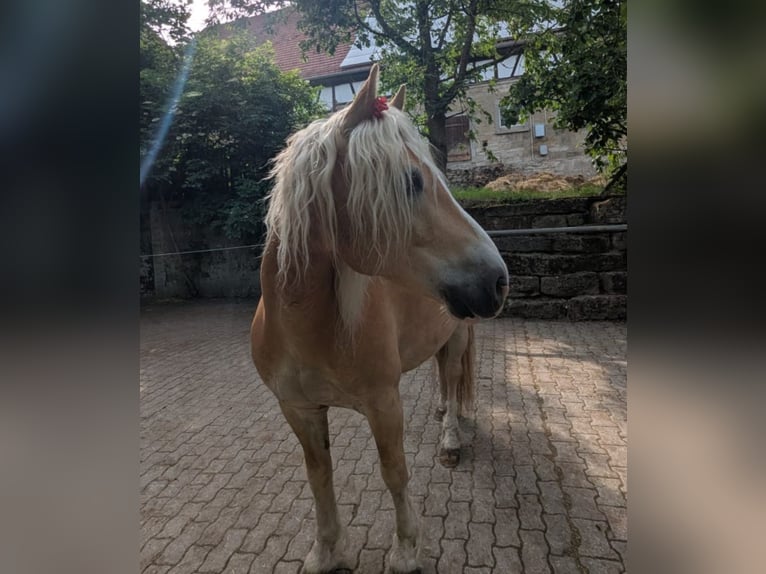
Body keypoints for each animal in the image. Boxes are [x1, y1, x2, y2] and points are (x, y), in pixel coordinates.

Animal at [251, 64, 509, 573]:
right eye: (412, 181)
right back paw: (442, 410)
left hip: (457, 335)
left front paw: (406, 549)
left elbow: (394, 472)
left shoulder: (384, 403)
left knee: (454, 377)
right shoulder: (298, 409)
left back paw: (451, 437)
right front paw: (327, 550)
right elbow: (319, 476)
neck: (307, 330)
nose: (497, 280)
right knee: (444, 380)